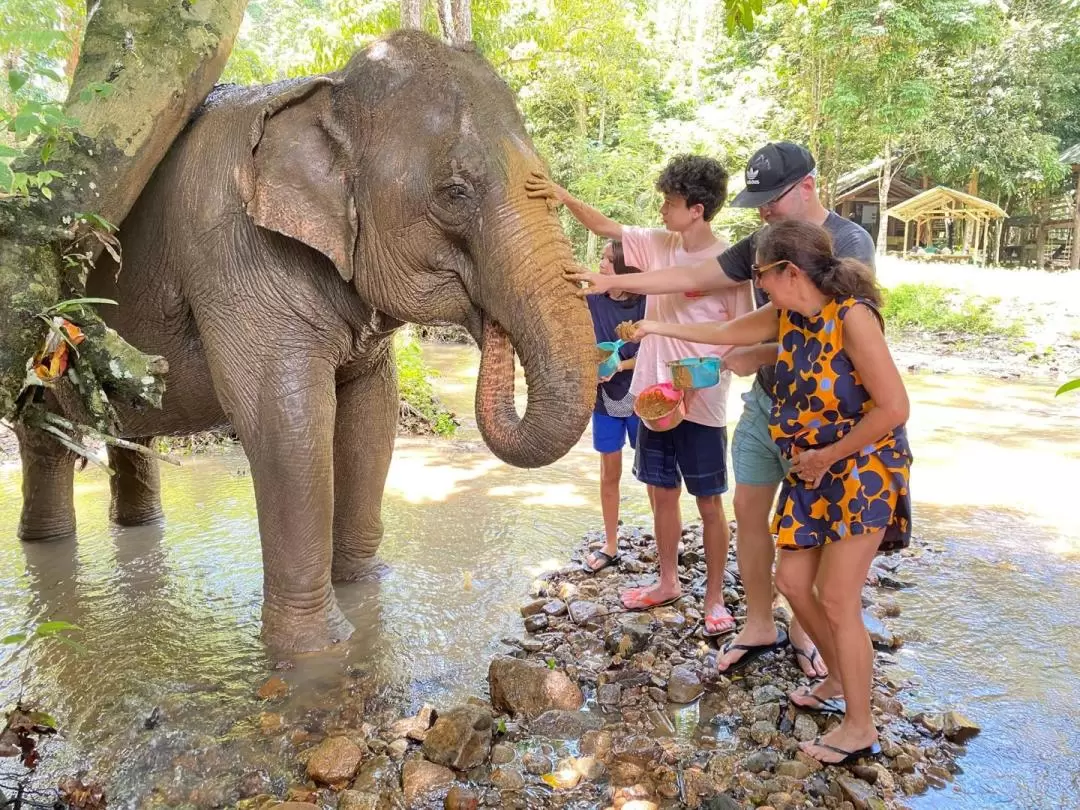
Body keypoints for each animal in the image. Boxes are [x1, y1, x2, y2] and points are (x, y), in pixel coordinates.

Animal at [12, 28, 596, 656]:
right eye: (454, 193)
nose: (491, 324)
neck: (325, 93)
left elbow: (372, 412)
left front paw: (365, 588)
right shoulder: (235, 254)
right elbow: (284, 420)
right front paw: (315, 651)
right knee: (41, 438)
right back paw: (45, 542)